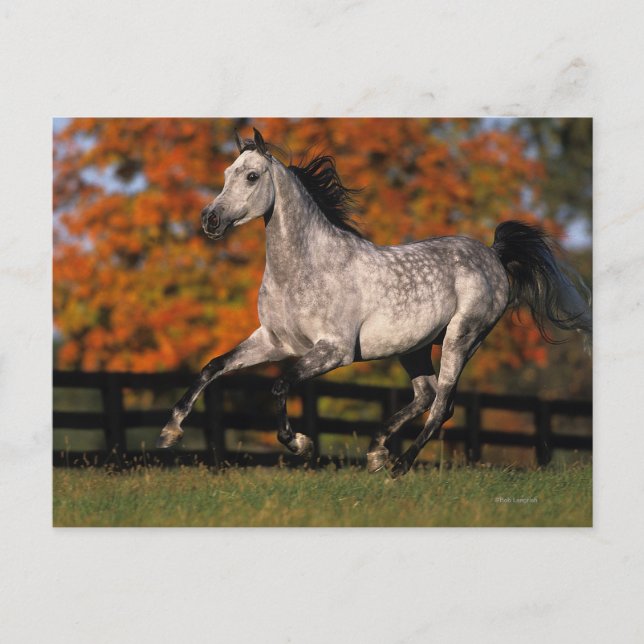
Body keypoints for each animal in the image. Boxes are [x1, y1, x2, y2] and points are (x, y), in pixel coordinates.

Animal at [156, 128, 592, 477]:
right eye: (226, 174)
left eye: (251, 176)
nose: (210, 220)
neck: (303, 268)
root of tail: (494, 254)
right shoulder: (274, 341)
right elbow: (213, 367)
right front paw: (170, 431)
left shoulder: (334, 351)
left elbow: (280, 385)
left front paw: (300, 444)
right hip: (413, 347)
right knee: (426, 394)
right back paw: (376, 452)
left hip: (462, 338)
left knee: (442, 405)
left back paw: (399, 465)